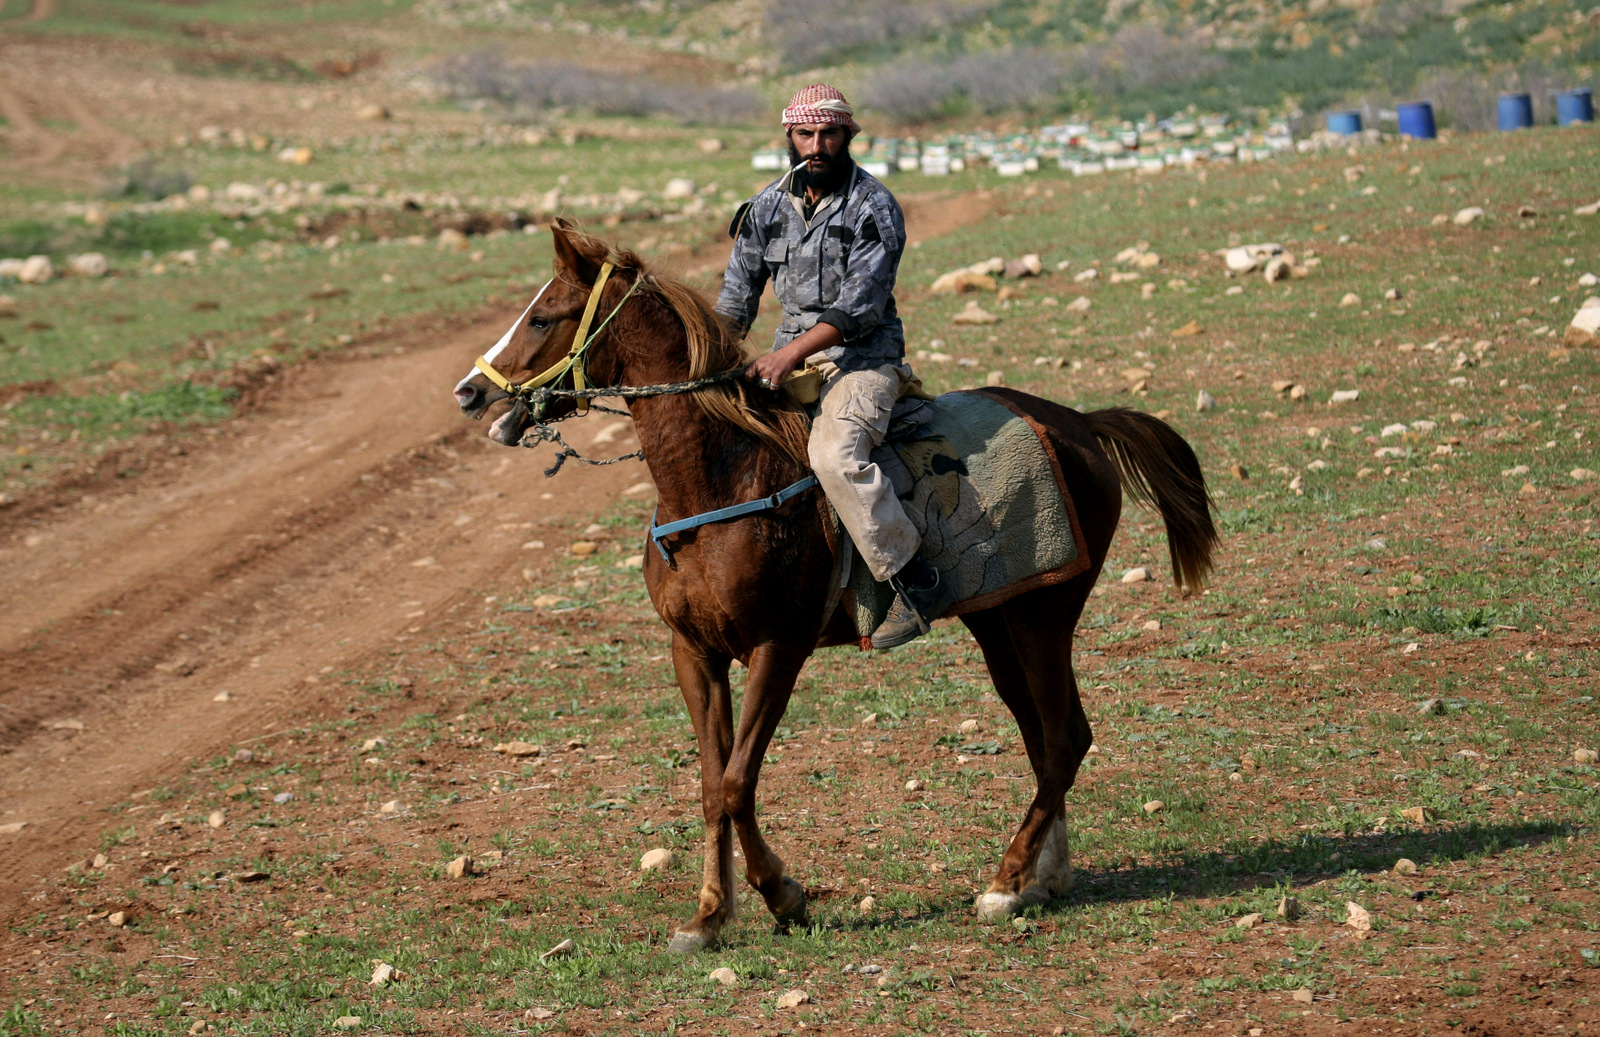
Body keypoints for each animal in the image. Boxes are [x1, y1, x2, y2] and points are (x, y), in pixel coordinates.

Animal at [453, 220, 1218, 951]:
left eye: (544, 317)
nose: (470, 391)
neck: (724, 477)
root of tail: (1080, 426)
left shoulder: (779, 647)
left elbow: (737, 780)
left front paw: (782, 896)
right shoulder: (693, 652)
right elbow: (710, 784)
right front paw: (707, 917)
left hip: (1044, 615)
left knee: (1062, 738)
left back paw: (1005, 884)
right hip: (998, 621)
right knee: (1048, 736)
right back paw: (1043, 877)